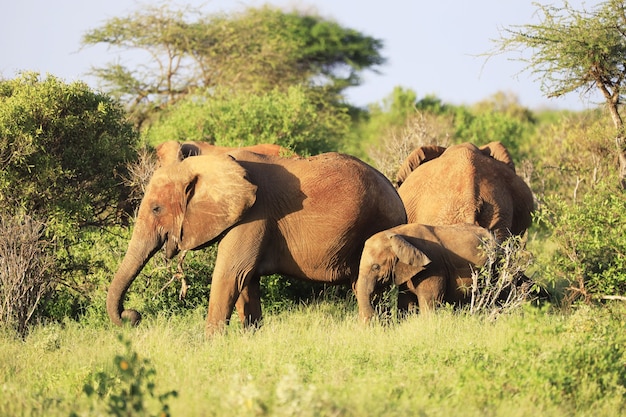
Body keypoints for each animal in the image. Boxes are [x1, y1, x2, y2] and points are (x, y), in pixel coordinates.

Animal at [106, 150, 404, 334]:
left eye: (156, 209)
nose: (133, 316)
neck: (208, 164)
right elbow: (245, 281)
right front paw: (251, 338)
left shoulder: (254, 215)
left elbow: (230, 274)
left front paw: (211, 346)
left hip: (378, 224)